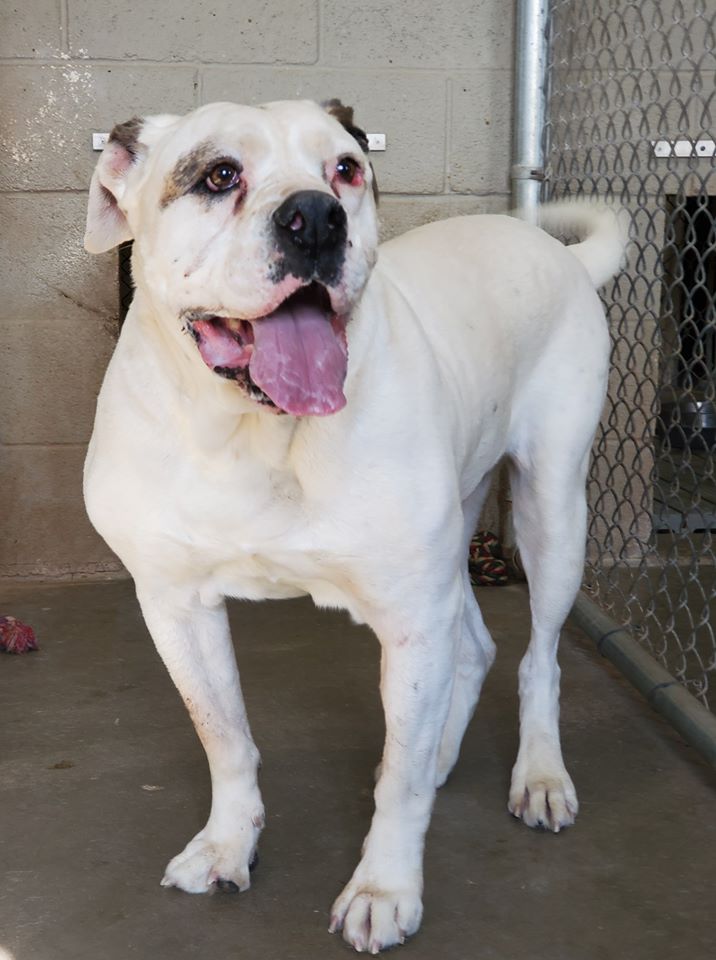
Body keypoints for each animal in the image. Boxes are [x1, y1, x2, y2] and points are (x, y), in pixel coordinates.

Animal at [82, 97, 620, 952]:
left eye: (347, 169)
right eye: (218, 175)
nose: (315, 218)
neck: (253, 434)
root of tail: (553, 251)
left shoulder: (410, 616)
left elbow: (397, 787)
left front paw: (385, 888)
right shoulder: (175, 606)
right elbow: (223, 736)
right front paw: (227, 843)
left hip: (553, 511)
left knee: (538, 659)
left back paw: (538, 774)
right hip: (455, 538)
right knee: (475, 646)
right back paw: (441, 751)